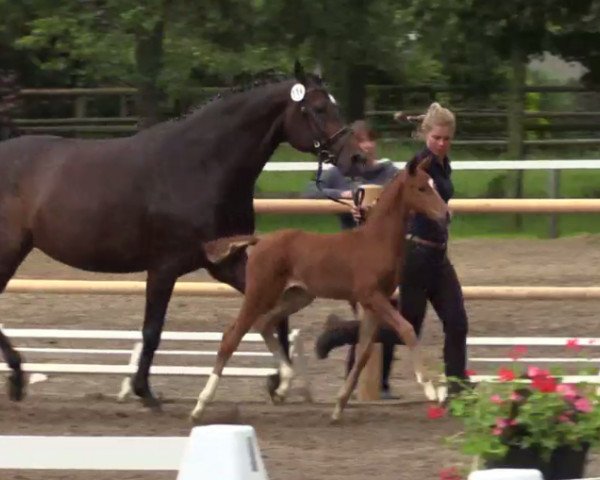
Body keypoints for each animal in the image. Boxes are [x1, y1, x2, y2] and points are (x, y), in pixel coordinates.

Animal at [0, 59, 366, 404]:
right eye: (318, 108)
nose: (356, 157)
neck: (201, 166)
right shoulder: (165, 266)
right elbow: (152, 330)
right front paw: (145, 391)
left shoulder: (227, 262)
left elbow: (274, 314)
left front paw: (277, 383)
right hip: (9, 251)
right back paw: (17, 378)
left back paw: (17, 377)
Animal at [191, 156, 446, 422]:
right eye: (421, 188)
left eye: (433, 185)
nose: (445, 214)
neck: (376, 241)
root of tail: (261, 240)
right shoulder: (371, 296)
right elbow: (407, 329)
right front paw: (431, 389)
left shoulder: (375, 303)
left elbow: (363, 353)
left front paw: (338, 406)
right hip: (260, 292)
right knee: (232, 336)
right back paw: (200, 406)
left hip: (297, 296)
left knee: (265, 323)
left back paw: (283, 386)